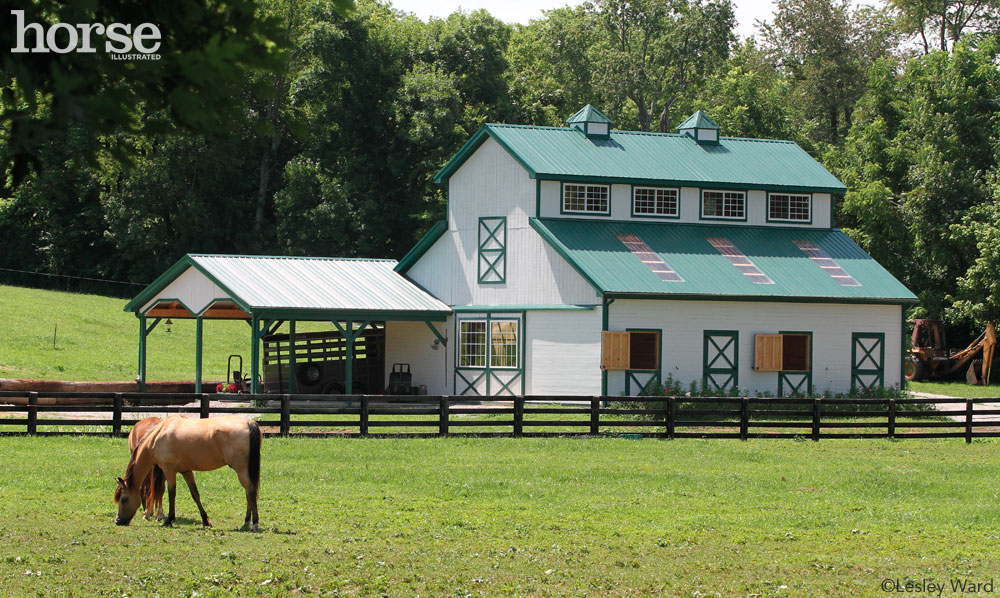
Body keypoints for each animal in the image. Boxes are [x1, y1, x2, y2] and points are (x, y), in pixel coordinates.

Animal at [114, 418, 262, 536]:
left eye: (124, 499)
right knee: (249, 493)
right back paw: (246, 523)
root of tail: (248, 422)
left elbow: (171, 494)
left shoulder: (169, 469)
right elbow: (195, 495)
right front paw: (205, 521)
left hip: (241, 470)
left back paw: (254, 524)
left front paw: (168, 520)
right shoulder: (186, 471)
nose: (118, 521)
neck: (158, 435)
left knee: (250, 491)